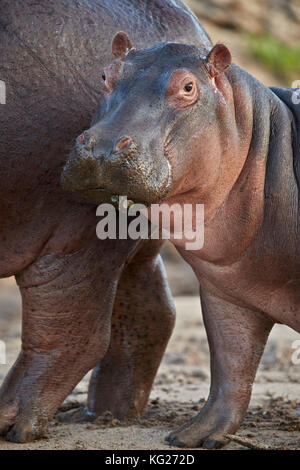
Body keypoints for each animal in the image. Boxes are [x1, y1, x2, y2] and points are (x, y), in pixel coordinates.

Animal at [0, 0, 212, 442]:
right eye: (105, 77)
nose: (102, 149)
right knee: (151, 309)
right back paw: (105, 414)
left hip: (73, 232)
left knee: (72, 329)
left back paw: (14, 422)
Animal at [62, 34, 300, 448]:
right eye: (106, 74)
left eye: (188, 87)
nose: (102, 148)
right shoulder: (226, 294)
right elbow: (230, 367)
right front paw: (193, 437)